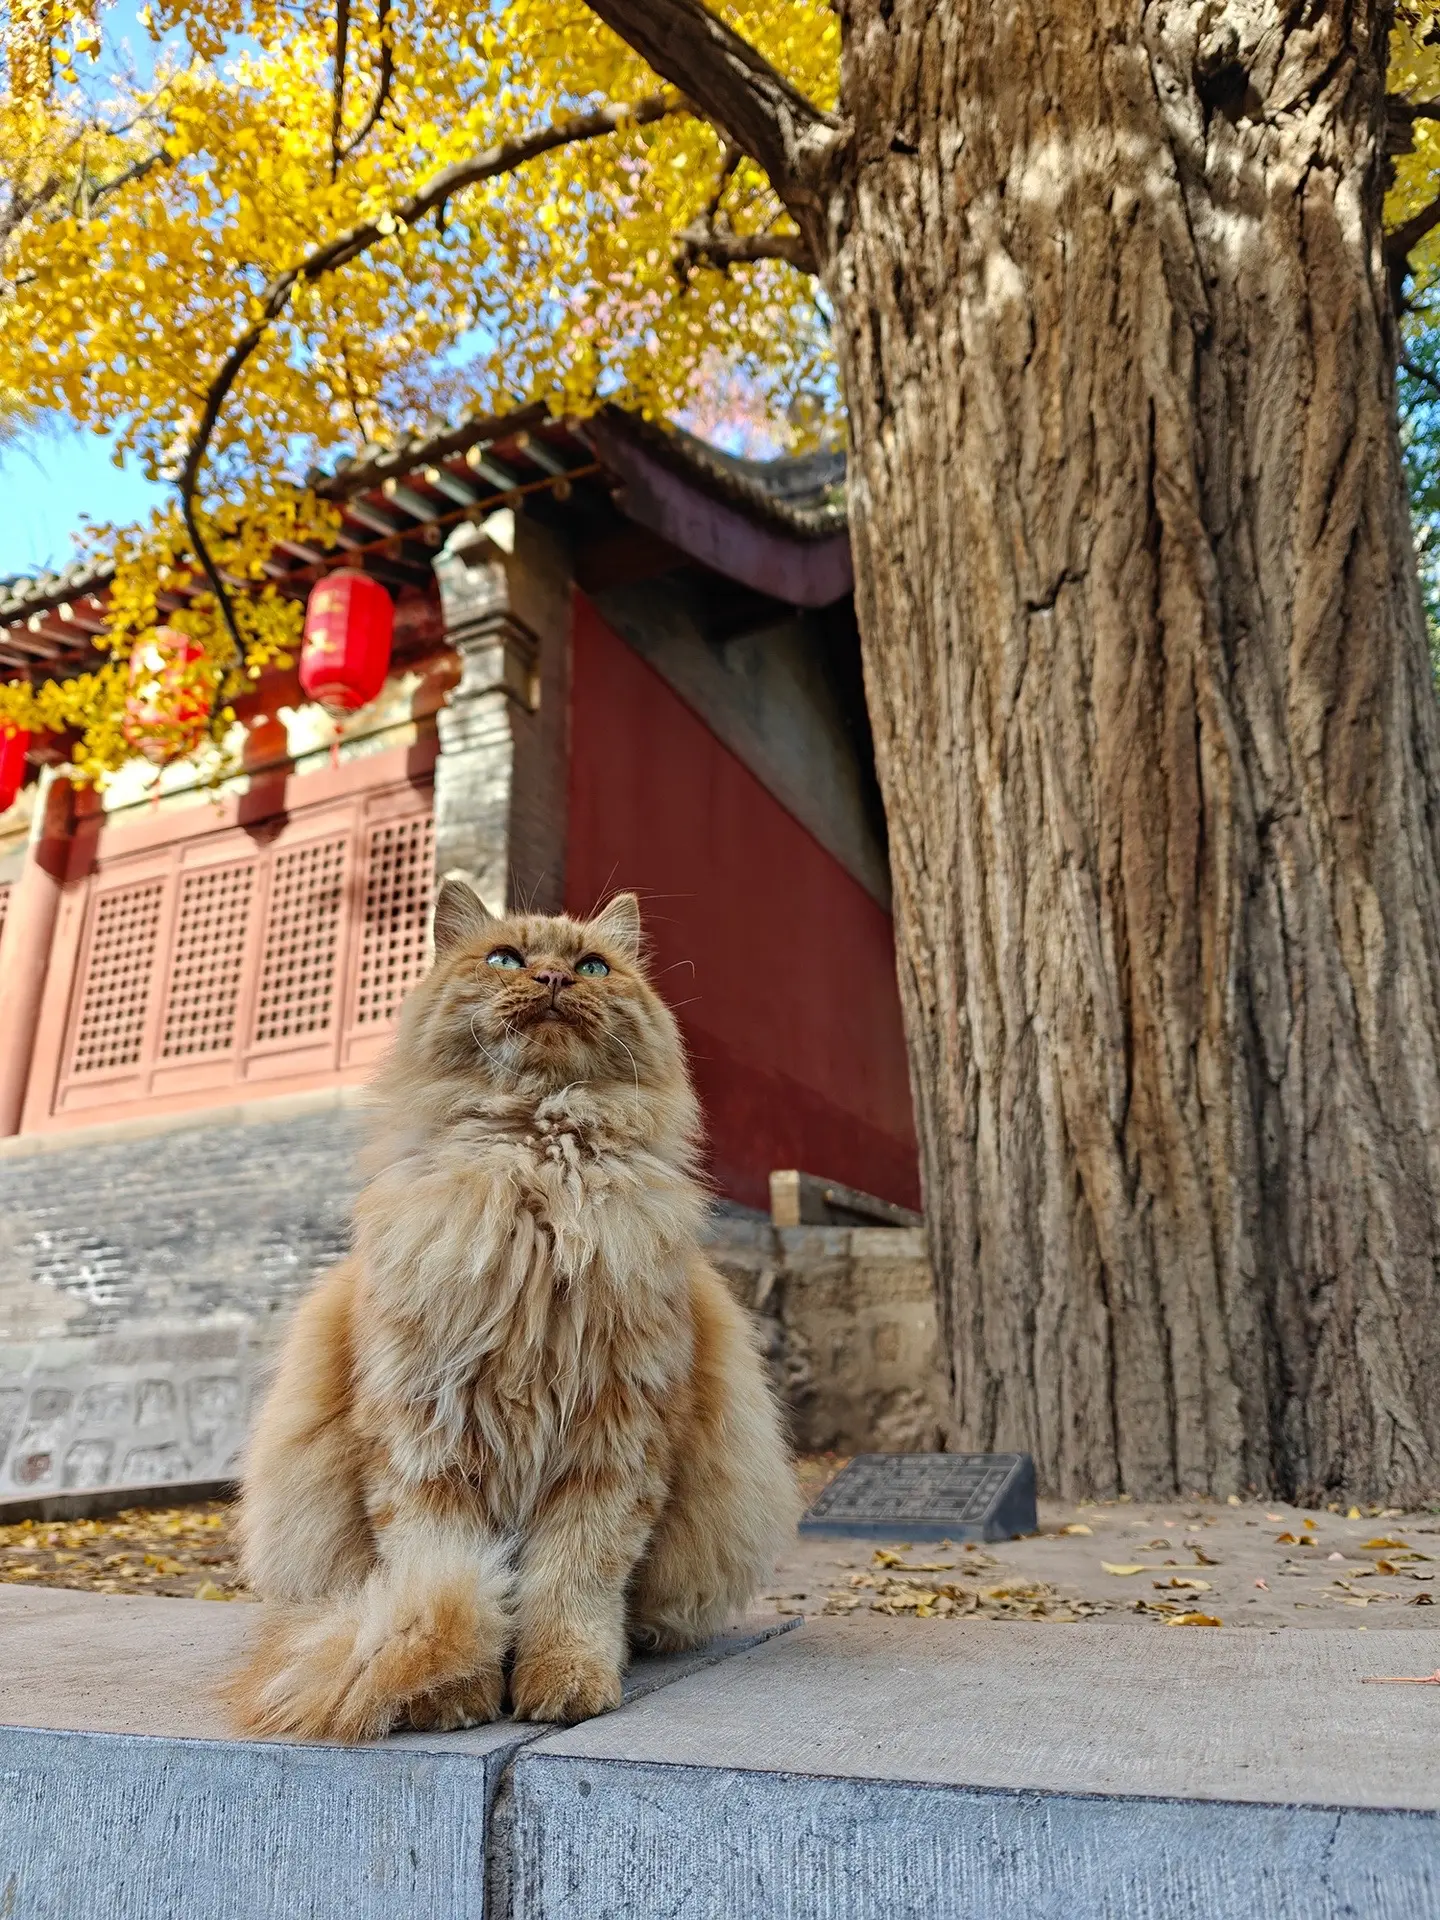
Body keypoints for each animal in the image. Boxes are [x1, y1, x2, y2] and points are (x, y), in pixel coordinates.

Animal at [225, 879, 794, 1743]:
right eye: (504, 959)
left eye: (592, 966)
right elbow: (444, 1570)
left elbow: (574, 1585)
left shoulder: (615, 1438)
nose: (554, 979)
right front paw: (451, 1690)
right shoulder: (424, 1440)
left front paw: (566, 1680)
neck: (536, 1174)